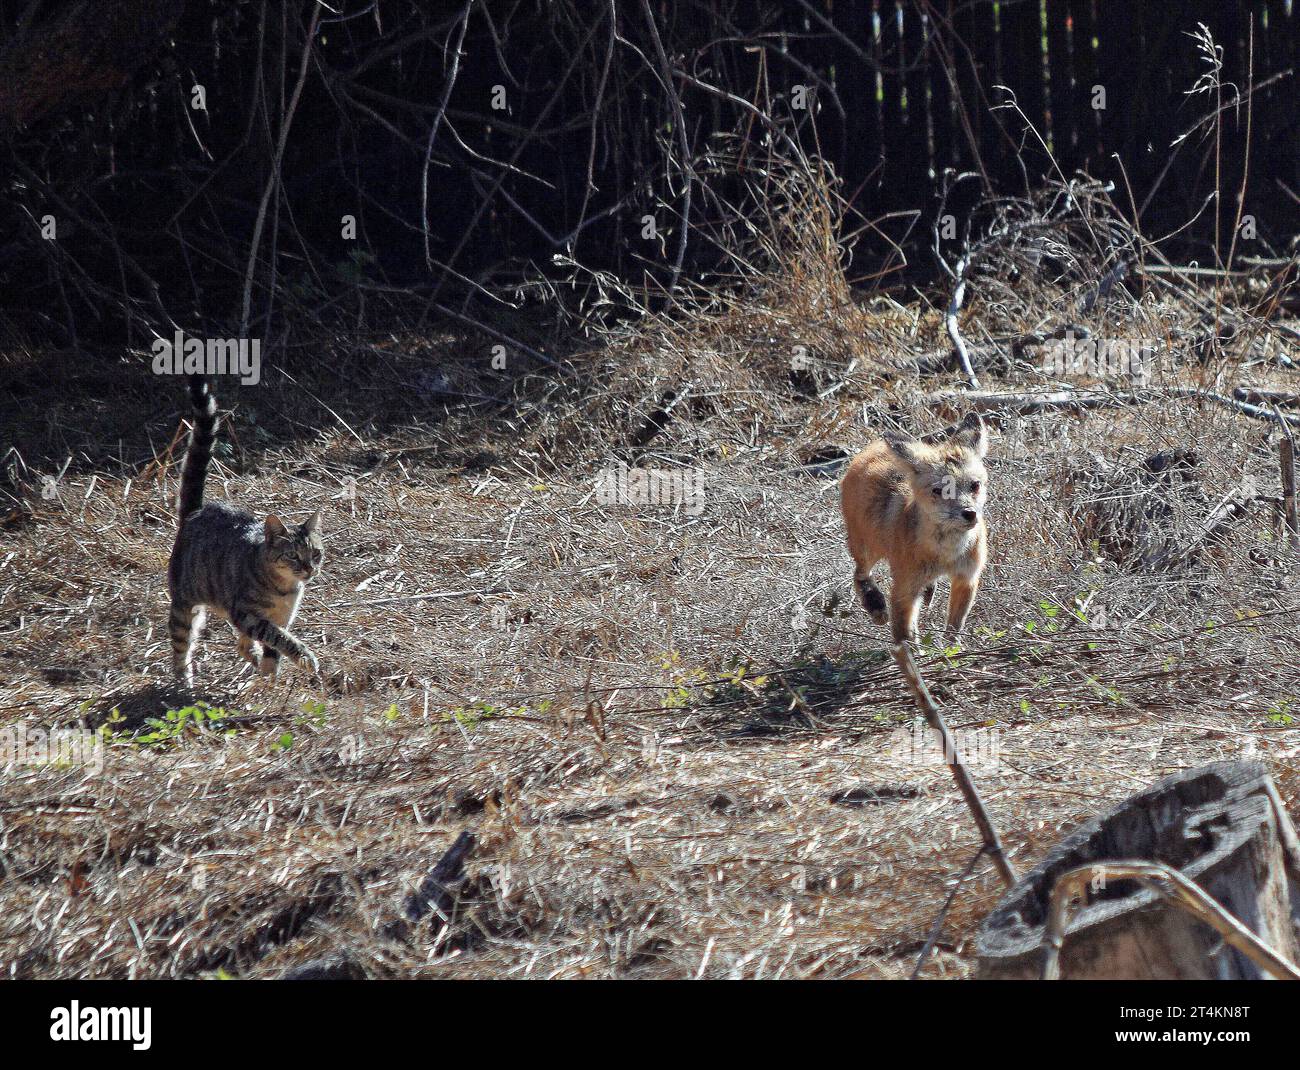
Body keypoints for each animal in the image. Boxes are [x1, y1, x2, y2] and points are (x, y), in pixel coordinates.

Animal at [167, 377, 322, 686]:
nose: (309, 569)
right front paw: (303, 657)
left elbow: (273, 647)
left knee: (241, 642)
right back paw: (182, 682)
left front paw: (269, 680)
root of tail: (195, 513)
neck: (284, 589)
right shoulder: (249, 614)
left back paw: (251, 658)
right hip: (185, 606)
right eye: (292, 555)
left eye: (315, 554)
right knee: (181, 646)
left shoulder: (281, 616)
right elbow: (279, 638)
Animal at [837, 413, 987, 644]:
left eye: (975, 485)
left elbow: (954, 630)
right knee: (859, 574)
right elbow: (905, 638)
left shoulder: (967, 578)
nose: (969, 513)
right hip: (867, 548)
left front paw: (950, 649)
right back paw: (875, 603)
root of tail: (872, 447)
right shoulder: (903, 589)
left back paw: (928, 591)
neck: (945, 555)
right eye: (939, 490)